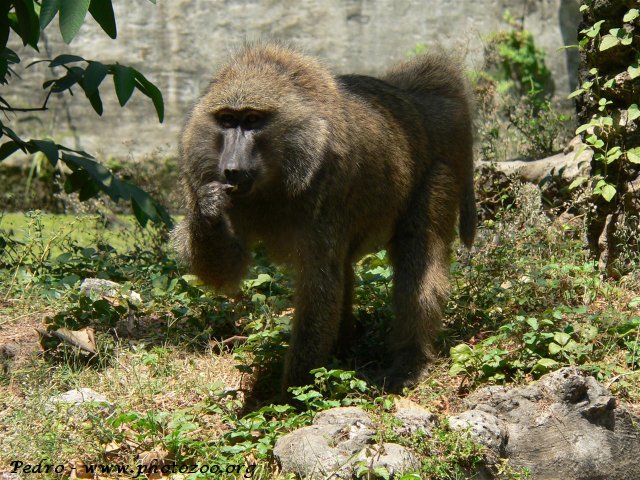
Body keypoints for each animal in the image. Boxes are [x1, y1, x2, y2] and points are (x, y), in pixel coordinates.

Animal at [171, 43, 476, 392]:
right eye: (226, 120)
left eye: (251, 120)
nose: (232, 169)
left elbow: (319, 285)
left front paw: (289, 395)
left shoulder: (326, 183)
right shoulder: (198, 174)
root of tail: (418, 104)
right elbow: (227, 271)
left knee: (416, 267)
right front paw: (208, 206)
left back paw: (408, 365)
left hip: (439, 173)